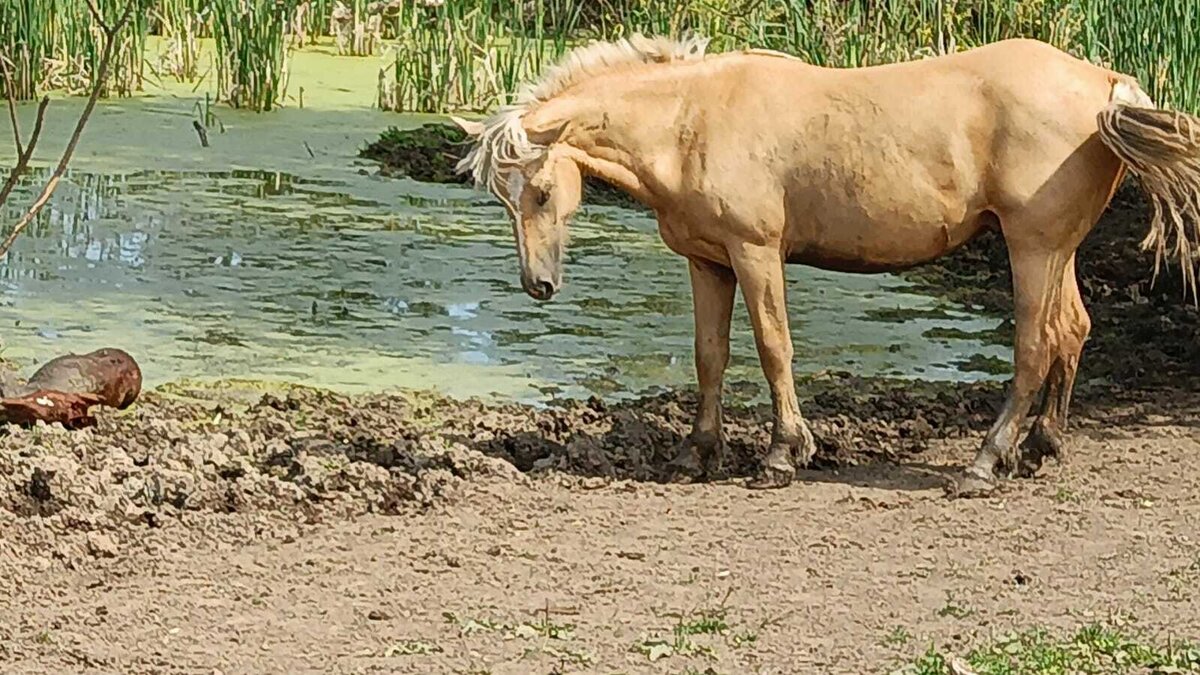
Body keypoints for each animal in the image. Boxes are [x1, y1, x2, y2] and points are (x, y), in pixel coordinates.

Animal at [451, 35, 1200, 494]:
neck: (693, 120)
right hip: (1056, 251)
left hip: (1034, 249)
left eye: (540, 191)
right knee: (1073, 332)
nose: (538, 285)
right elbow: (710, 356)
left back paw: (985, 462)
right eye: (501, 198)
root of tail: (1104, 83)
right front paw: (697, 453)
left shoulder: (755, 253)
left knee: (1035, 347)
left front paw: (783, 454)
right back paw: (1041, 447)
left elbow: (774, 347)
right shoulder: (707, 262)